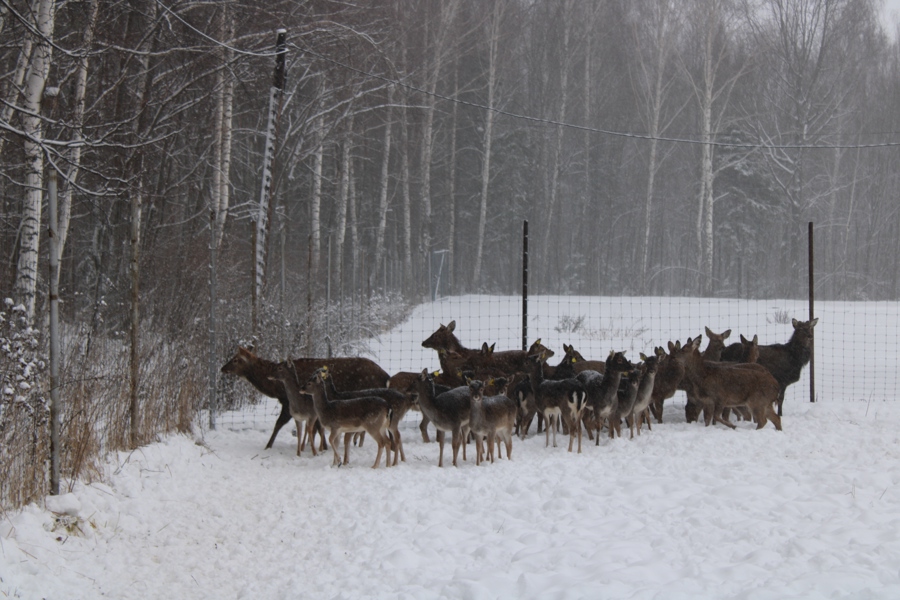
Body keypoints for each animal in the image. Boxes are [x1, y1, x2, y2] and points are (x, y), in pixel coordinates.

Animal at [221, 346, 390, 450]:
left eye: (235, 359)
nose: (222, 368)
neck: (276, 389)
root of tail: (386, 376)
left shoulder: (289, 402)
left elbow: (279, 424)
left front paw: (268, 445)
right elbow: (315, 428)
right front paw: (314, 445)